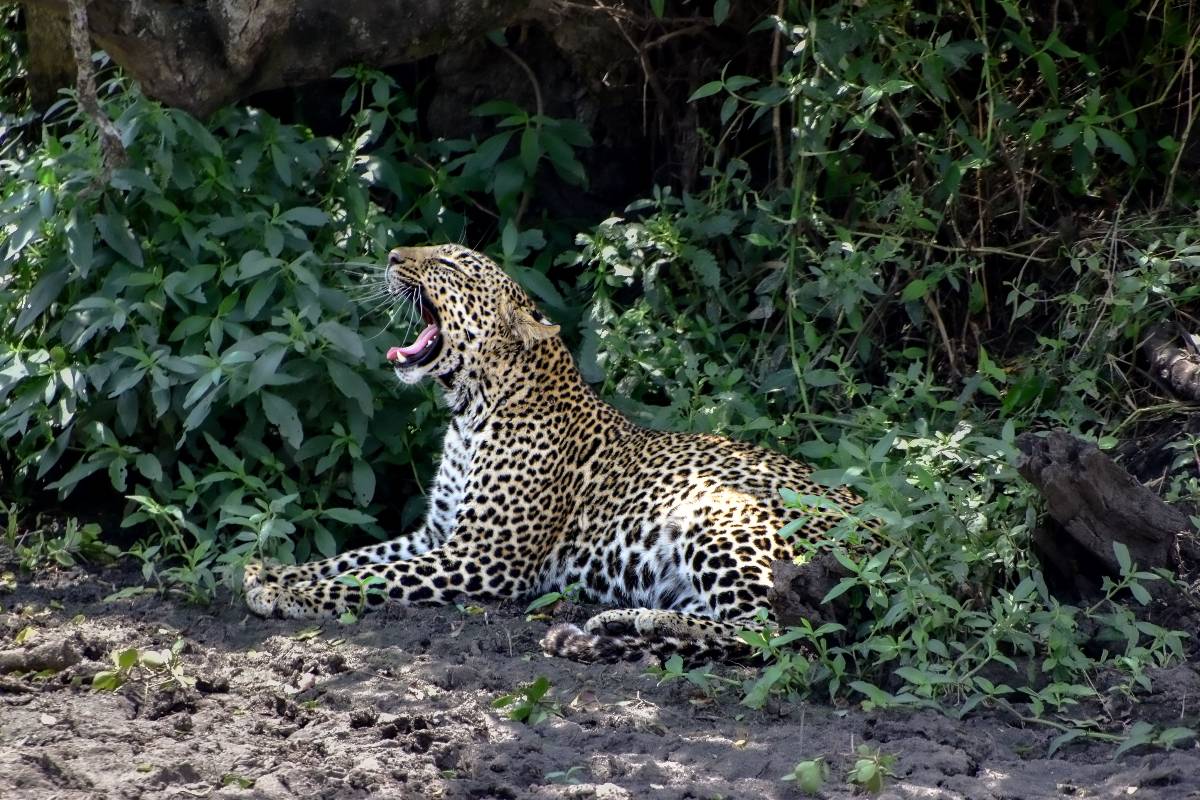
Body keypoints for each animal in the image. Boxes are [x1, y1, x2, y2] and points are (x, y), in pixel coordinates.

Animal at [243, 243, 862, 663]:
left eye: (451, 265)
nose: (393, 254)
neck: (469, 410)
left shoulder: (482, 558)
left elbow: (370, 579)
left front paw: (285, 593)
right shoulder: (437, 534)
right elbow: (355, 557)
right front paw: (266, 570)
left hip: (722, 516)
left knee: (777, 635)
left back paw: (633, 628)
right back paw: (616, 624)